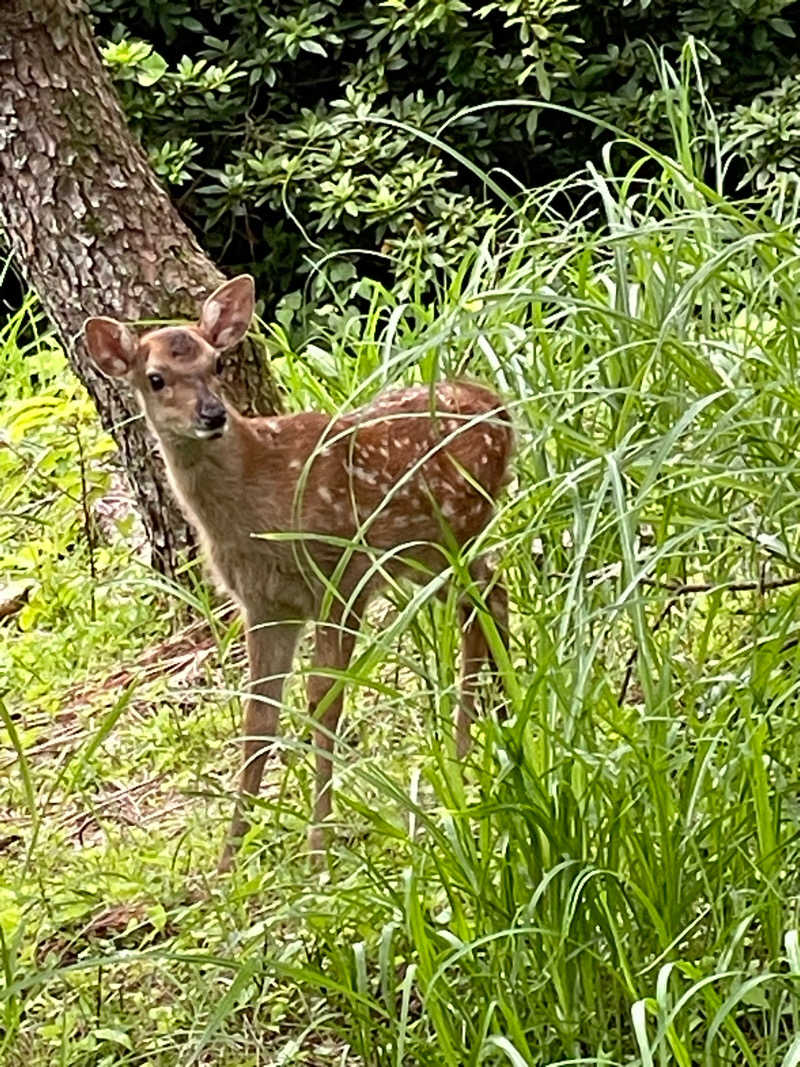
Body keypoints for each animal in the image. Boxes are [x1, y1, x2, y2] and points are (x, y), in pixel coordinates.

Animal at [83, 275, 514, 866]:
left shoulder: (340, 574)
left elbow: (323, 703)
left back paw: (467, 749)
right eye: (156, 378)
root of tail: (502, 410)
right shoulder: (264, 604)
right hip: (423, 552)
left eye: (217, 363)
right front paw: (228, 861)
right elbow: (258, 720)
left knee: (486, 594)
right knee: (488, 595)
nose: (212, 415)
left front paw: (318, 850)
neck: (256, 500)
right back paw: (493, 729)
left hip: (451, 531)